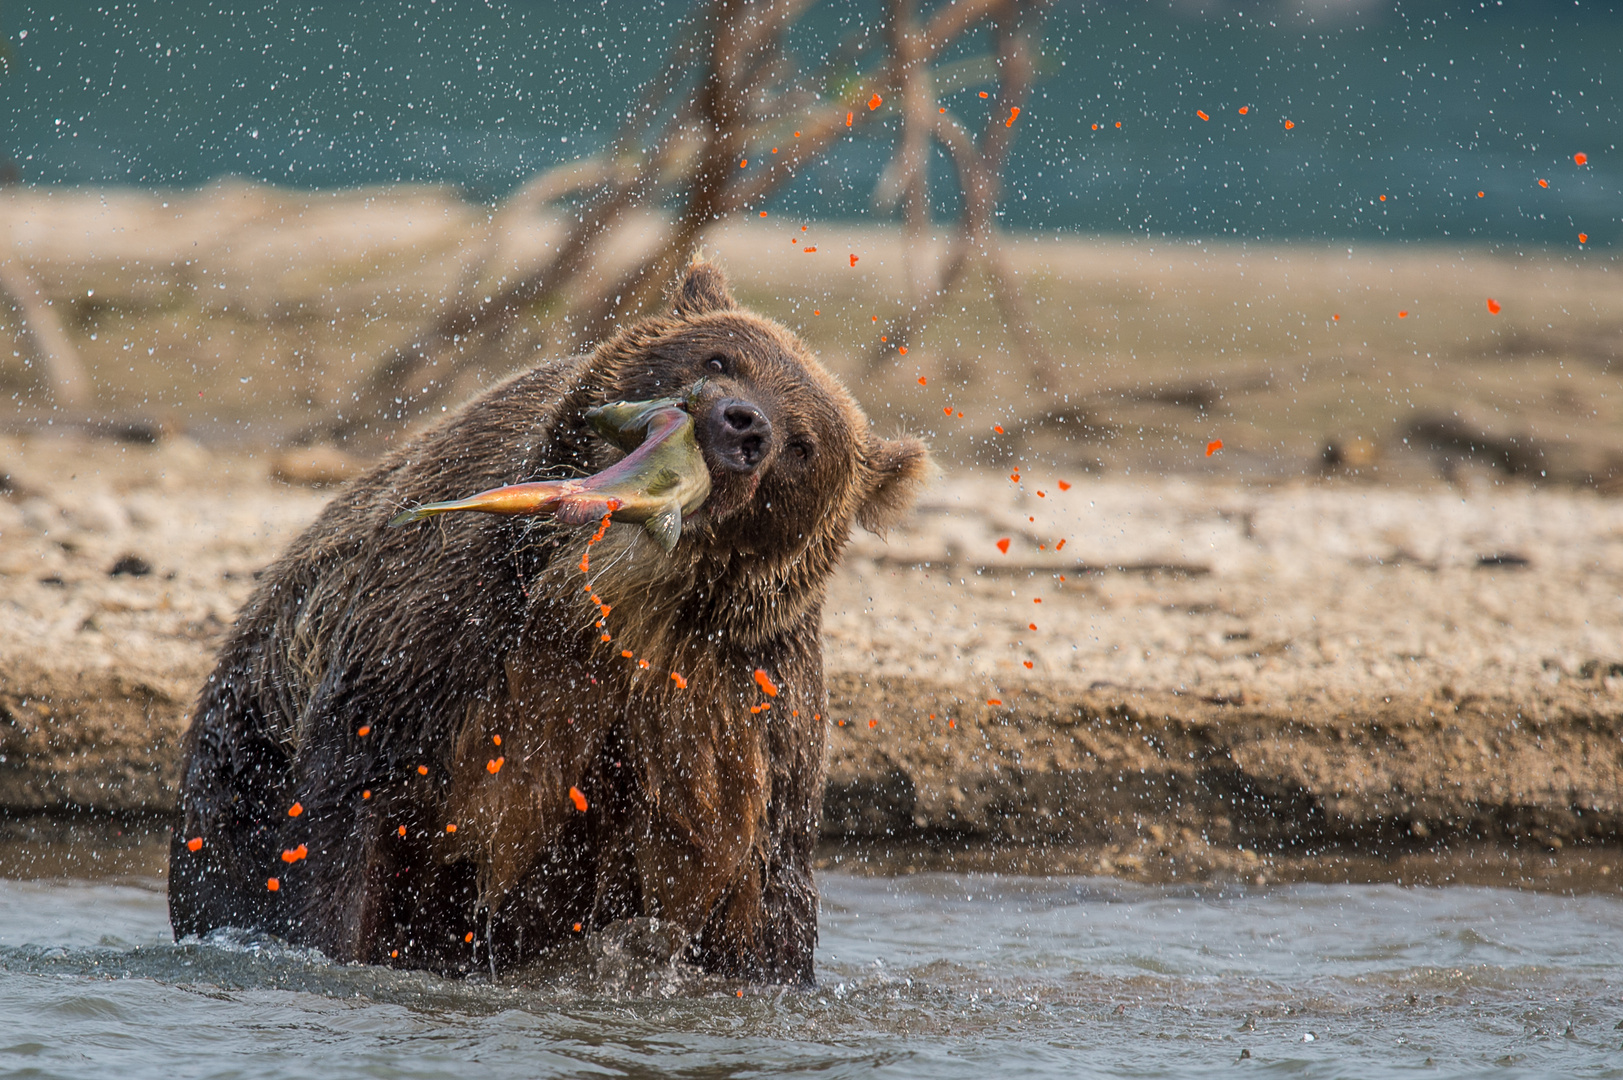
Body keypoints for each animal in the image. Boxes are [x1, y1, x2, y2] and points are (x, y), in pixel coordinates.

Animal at [171, 256, 934, 980]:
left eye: (804, 445)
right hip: (245, 747)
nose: (742, 422)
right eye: (721, 359)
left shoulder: (736, 720)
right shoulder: (449, 632)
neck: (617, 602)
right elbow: (348, 805)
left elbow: (759, 891)